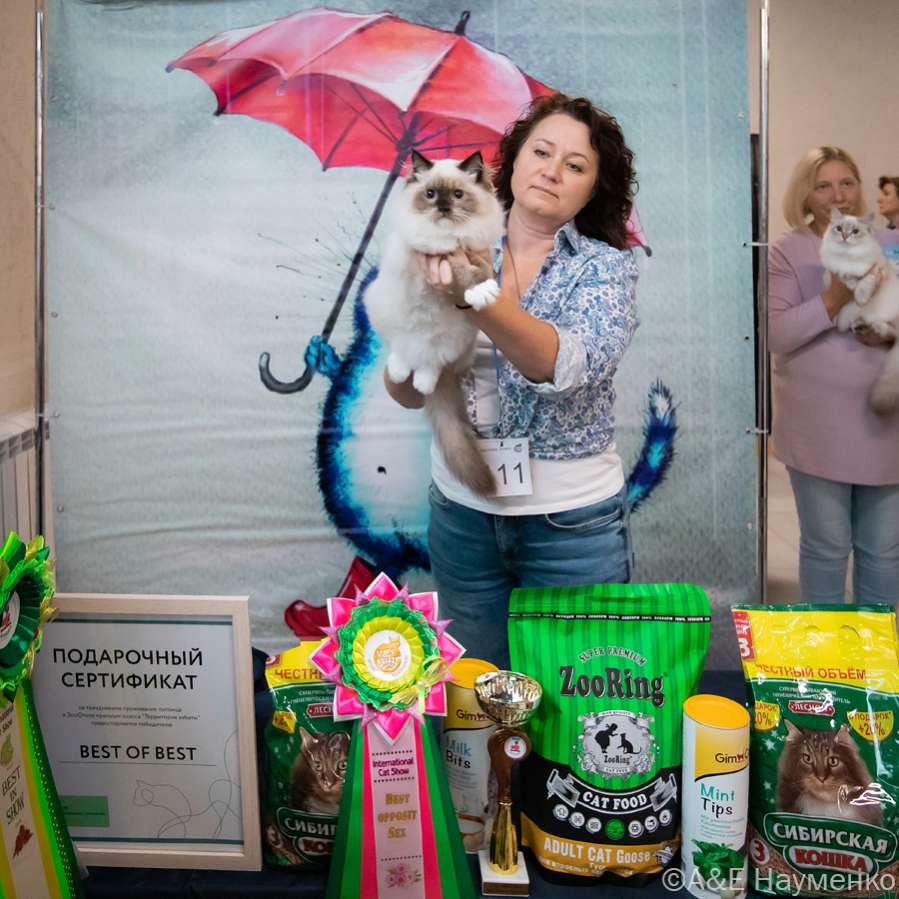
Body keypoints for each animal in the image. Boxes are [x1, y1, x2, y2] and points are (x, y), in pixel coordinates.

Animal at [364, 150, 505, 496]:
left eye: (457, 195)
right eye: (429, 194)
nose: (442, 208)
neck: (446, 237)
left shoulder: (473, 252)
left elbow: (477, 271)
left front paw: (482, 291)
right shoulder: (423, 255)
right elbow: (451, 264)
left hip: (456, 336)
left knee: (431, 362)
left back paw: (422, 382)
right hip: (385, 305)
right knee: (404, 348)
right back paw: (401, 371)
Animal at [820, 208, 899, 414]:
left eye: (855, 231)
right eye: (839, 229)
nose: (845, 236)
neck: (848, 259)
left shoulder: (875, 271)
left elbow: (864, 284)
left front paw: (860, 296)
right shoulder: (831, 273)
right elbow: (844, 279)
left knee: (892, 331)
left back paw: (870, 326)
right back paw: (859, 324)